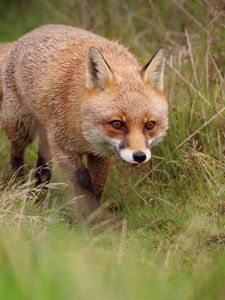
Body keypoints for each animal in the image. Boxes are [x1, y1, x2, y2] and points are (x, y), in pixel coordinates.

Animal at [0, 24, 169, 219]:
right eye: (117, 124)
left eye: (150, 125)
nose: (139, 156)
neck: (84, 131)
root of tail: (33, 31)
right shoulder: (61, 146)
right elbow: (83, 181)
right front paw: (89, 218)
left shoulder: (101, 154)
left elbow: (98, 185)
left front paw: (94, 217)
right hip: (21, 127)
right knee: (16, 154)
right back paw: (19, 186)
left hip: (44, 136)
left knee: (42, 168)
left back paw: (39, 196)